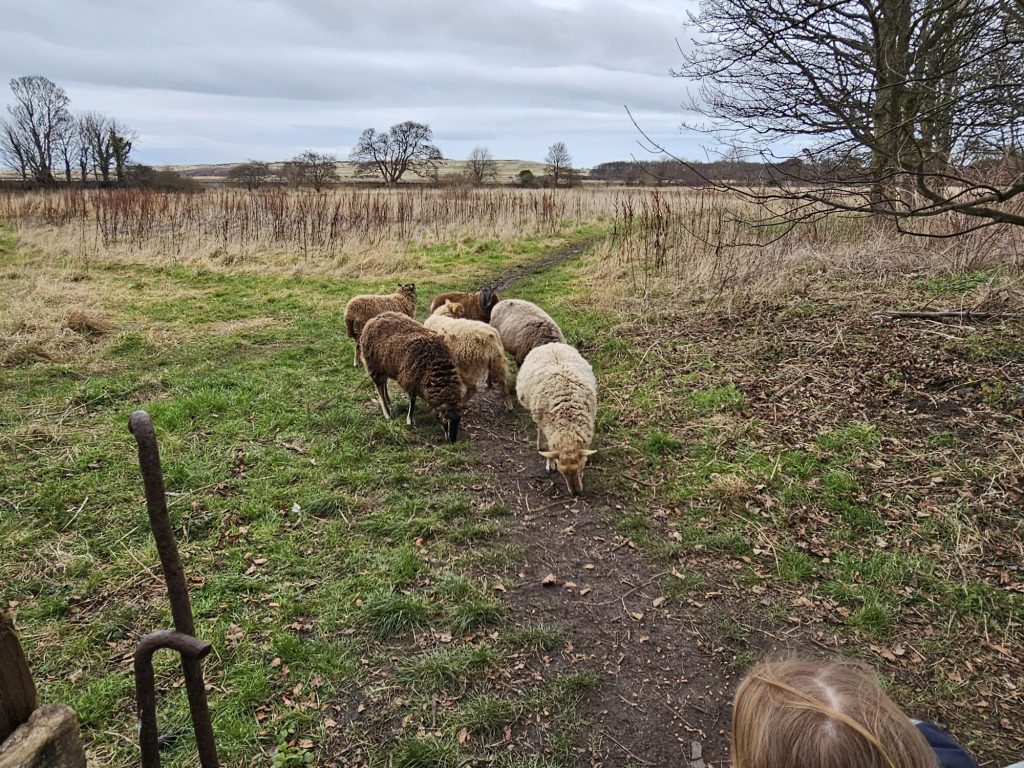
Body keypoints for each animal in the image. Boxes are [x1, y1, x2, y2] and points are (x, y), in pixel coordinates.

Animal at [359, 311, 463, 443]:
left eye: (459, 420)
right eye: (445, 419)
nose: (452, 441)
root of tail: (375, 318)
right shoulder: (411, 380)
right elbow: (412, 401)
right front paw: (410, 420)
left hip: (385, 366)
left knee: (384, 383)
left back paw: (388, 400)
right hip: (374, 365)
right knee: (379, 388)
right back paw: (387, 412)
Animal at [516, 342, 597, 496]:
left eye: (581, 467)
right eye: (561, 471)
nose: (576, 493)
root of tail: (550, 344)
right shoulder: (549, 429)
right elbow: (549, 448)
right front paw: (550, 463)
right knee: (539, 431)